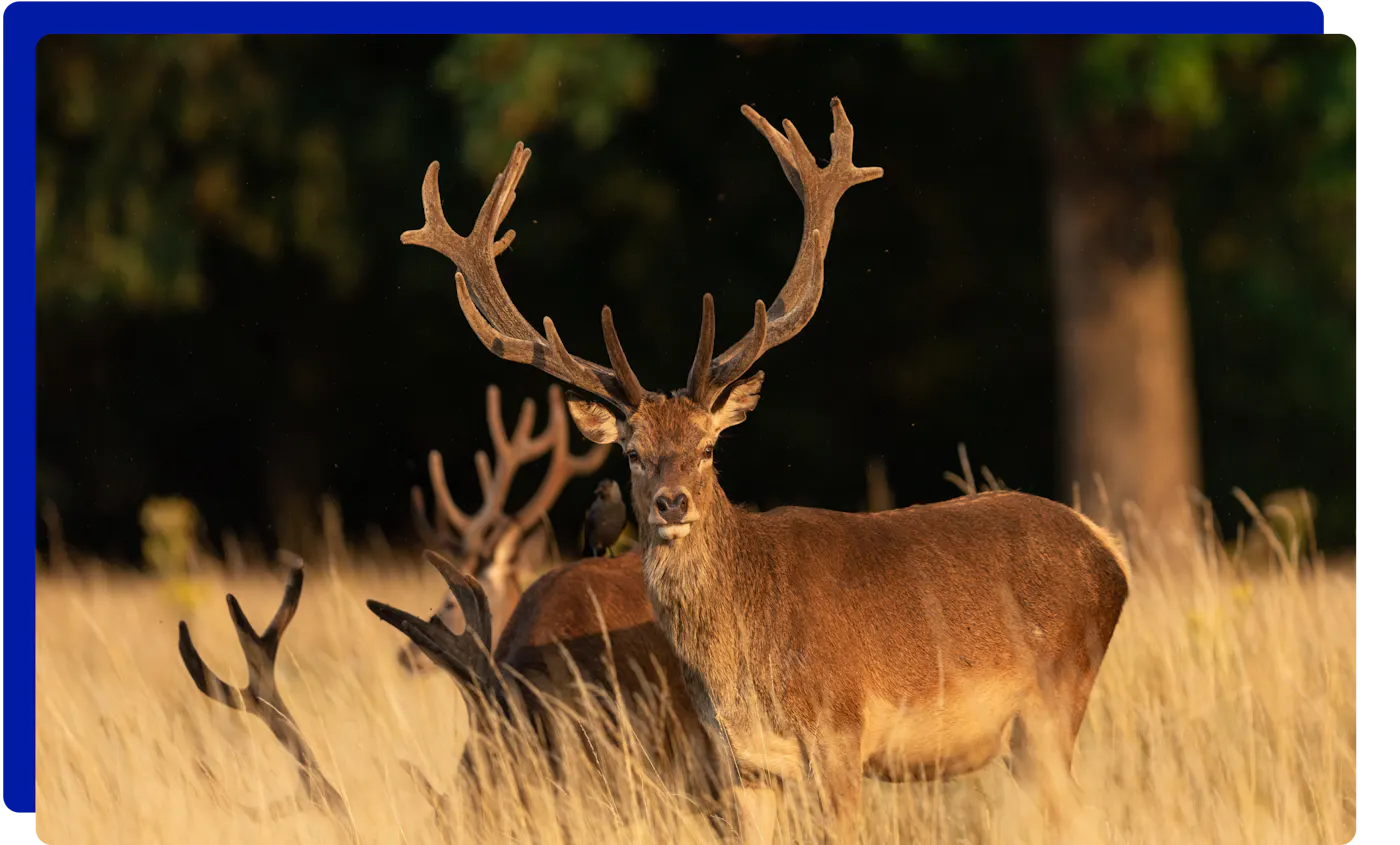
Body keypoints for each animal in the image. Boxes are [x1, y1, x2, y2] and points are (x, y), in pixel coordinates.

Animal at [400, 96, 1132, 842]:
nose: (671, 502)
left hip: (1054, 698)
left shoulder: (839, 730)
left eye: (708, 446)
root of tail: (1109, 549)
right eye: (631, 452)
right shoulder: (744, 764)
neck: (743, 665)